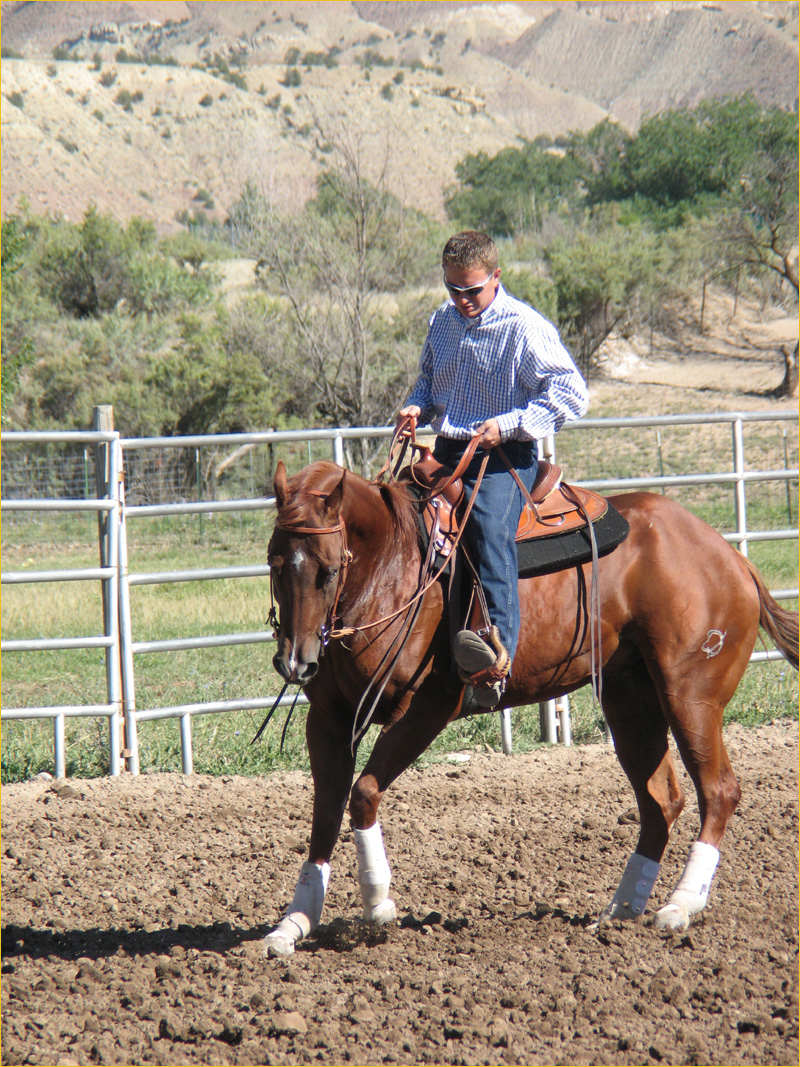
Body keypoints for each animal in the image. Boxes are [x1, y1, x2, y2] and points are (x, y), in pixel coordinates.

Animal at [261, 458, 797, 960]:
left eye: (329, 570)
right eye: (274, 563)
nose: (296, 662)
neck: (391, 567)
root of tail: (728, 555)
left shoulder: (426, 710)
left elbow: (363, 793)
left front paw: (377, 905)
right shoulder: (328, 720)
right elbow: (325, 812)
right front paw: (295, 922)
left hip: (690, 697)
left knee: (718, 791)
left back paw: (681, 904)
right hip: (630, 703)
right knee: (660, 801)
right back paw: (621, 911)